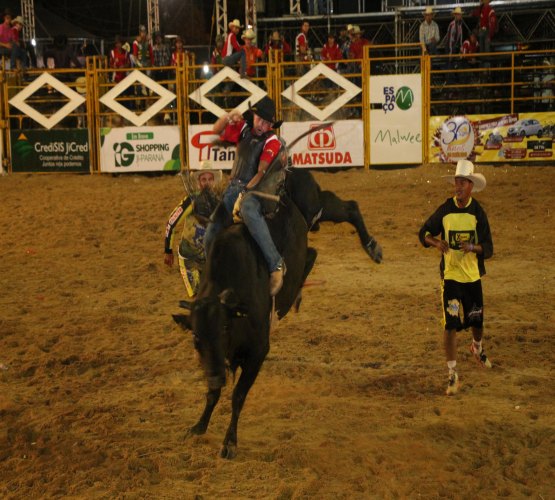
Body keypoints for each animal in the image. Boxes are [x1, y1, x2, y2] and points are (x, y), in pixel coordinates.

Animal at [174, 162, 382, 458]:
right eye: (195, 337)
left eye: (224, 327)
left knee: (349, 208)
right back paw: (296, 292)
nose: (214, 377)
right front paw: (199, 425)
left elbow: (238, 395)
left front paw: (230, 442)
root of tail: (293, 170)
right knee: (312, 254)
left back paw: (372, 247)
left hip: (315, 207)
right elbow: (213, 393)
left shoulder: (258, 351)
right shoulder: (216, 361)